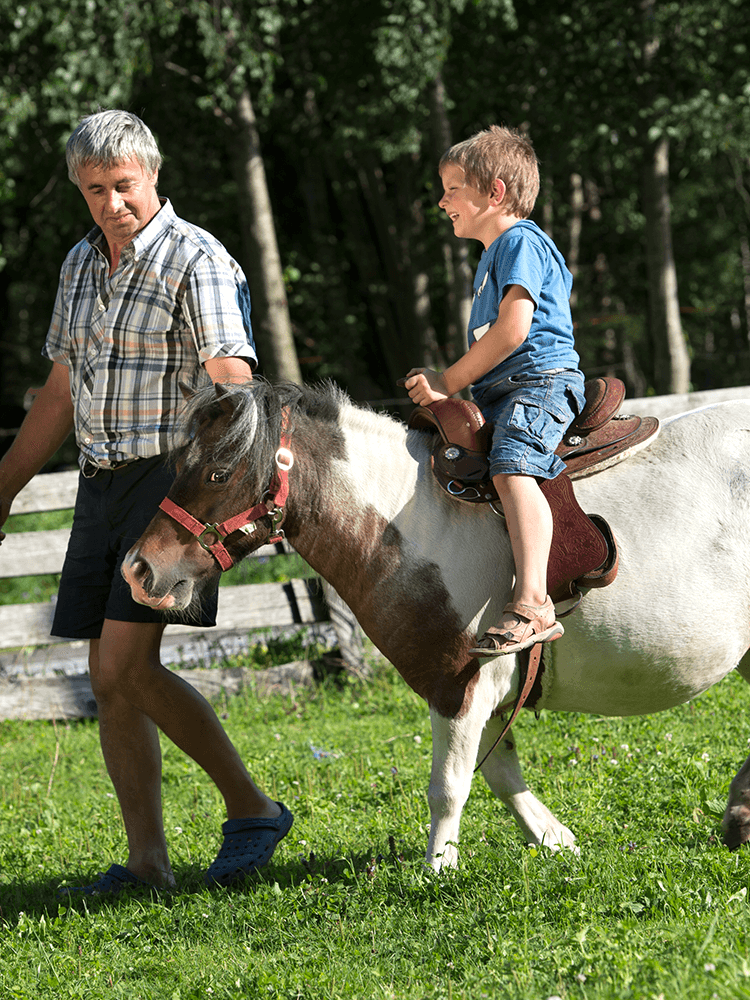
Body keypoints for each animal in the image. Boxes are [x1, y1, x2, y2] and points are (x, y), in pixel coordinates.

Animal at [122, 380, 750, 868]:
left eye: (219, 473)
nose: (139, 569)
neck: (413, 524)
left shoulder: (459, 686)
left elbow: (449, 786)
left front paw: (438, 868)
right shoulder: (479, 692)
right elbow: (499, 773)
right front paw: (553, 838)